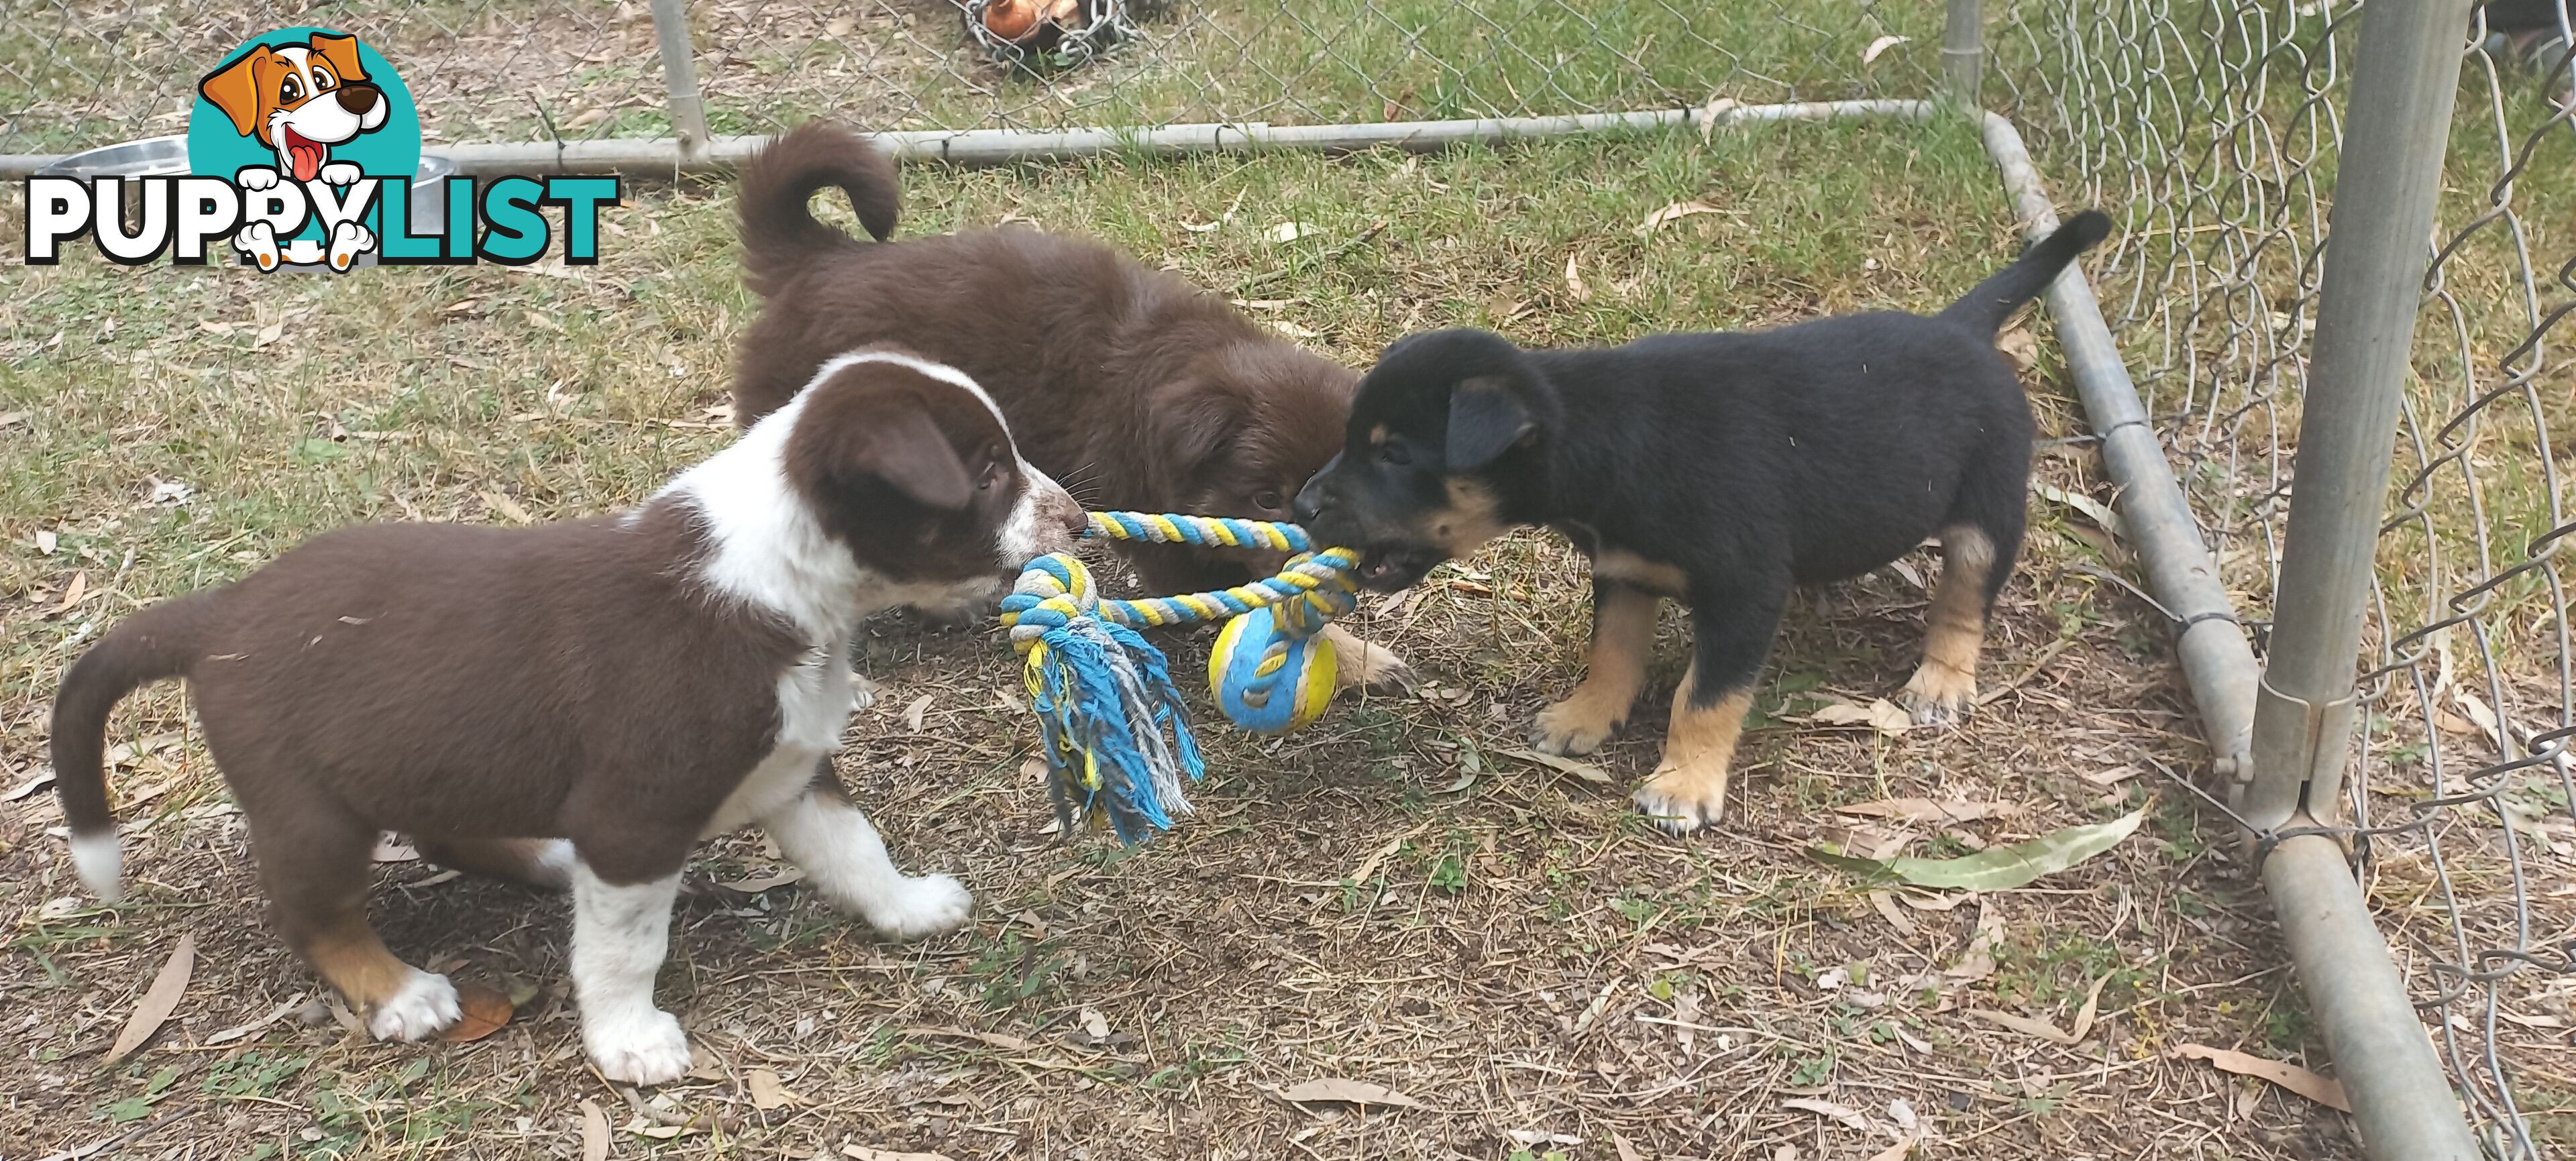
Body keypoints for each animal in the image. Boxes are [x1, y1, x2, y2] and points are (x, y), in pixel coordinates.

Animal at [52, 349, 1077, 1086]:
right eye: (988, 472)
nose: (1078, 519)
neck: (783, 578)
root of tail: (217, 614)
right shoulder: (636, 817)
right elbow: (626, 948)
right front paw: (630, 1041)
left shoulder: (793, 766)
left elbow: (856, 848)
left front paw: (908, 907)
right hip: (310, 806)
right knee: (313, 911)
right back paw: (399, 989)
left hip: (432, 753)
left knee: (446, 830)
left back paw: (542, 858)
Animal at [726, 120, 1411, 689]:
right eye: (1266, 498)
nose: (1335, 566)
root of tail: (820, 260)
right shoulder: (1173, 545)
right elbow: (1264, 596)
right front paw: (1353, 655)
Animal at [1298, 213, 2102, 834]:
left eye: (1395, 455)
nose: (1304, 506)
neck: (1613, 440)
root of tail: (1959, 328)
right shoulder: (1622, 573)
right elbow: (1612, 655)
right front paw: (1585, 718)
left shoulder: (1745, 592)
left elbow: (1705, 696)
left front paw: (1684, 784)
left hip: (1987, 508)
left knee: (1966, 596)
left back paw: (1941, 680)